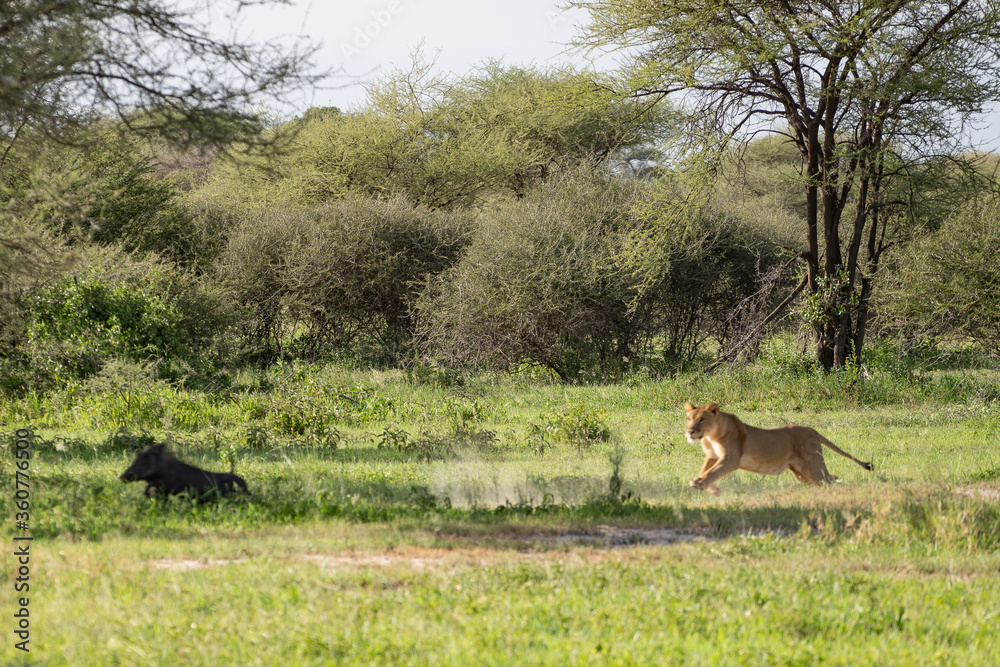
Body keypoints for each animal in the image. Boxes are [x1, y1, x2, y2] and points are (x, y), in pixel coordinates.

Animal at [683, 402, 873, 495]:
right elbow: (706, 470)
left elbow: (712, 472)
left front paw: (700, 483)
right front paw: (710, 488)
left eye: (701, 419)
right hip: (800, 473)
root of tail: (812, 430)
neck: (710, 437)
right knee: (828, 479)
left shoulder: (730, 459)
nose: (690, 431)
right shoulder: (712, 457)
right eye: (689, 418)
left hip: (812, 467)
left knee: (829, 479)